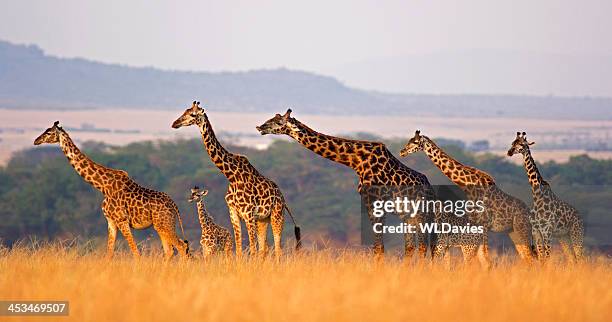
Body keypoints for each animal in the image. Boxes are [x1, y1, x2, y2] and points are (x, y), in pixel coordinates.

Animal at [32, 121, 189, 260]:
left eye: (49, 132)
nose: (36, 140)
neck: (103, 186)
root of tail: (174, 205)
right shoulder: (111, 221)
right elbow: (109, 253)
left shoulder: (122, 220)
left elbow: (136, 252)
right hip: (161, 225)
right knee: (171, 251)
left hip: (164, 224)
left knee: (181, 247)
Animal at [172, 102, 302, 258]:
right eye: (185, 111)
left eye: (192, 114)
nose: (175, 123)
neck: (231, 176)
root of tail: (283, 198)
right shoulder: (234, 213)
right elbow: (239, 250)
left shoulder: (248, 214)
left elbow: (252, 249)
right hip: (262, 220)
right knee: (264, 249)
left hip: (277, 215)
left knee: (277, 249)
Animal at [256, 108, 438, 260]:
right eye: (271, 118)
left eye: (279, 122)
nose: (260, 127)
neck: (357, 161)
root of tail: (432, 190)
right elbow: (380, 247)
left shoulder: (375, 202)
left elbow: (378, 247)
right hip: (409, 216)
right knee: (413, 247)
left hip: (421, 215)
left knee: (423, 246)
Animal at [400, 129, 532, 262]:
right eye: (410, 140)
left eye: (415, 142)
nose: (402, 151)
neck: (468, 184)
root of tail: (530, 212)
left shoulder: (482, 223)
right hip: (513, 232)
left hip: (521, 230)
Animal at [506, 131, 584, 262]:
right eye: (512, 143)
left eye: (522, 144)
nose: (509, 152)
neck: (537, 195)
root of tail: (580, 216)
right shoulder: (536, 231)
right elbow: (542, 258)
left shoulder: (547, 231)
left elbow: (546, 258)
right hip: (563, 236)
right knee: (572, 259)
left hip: (576, 233)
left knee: (581, 257)